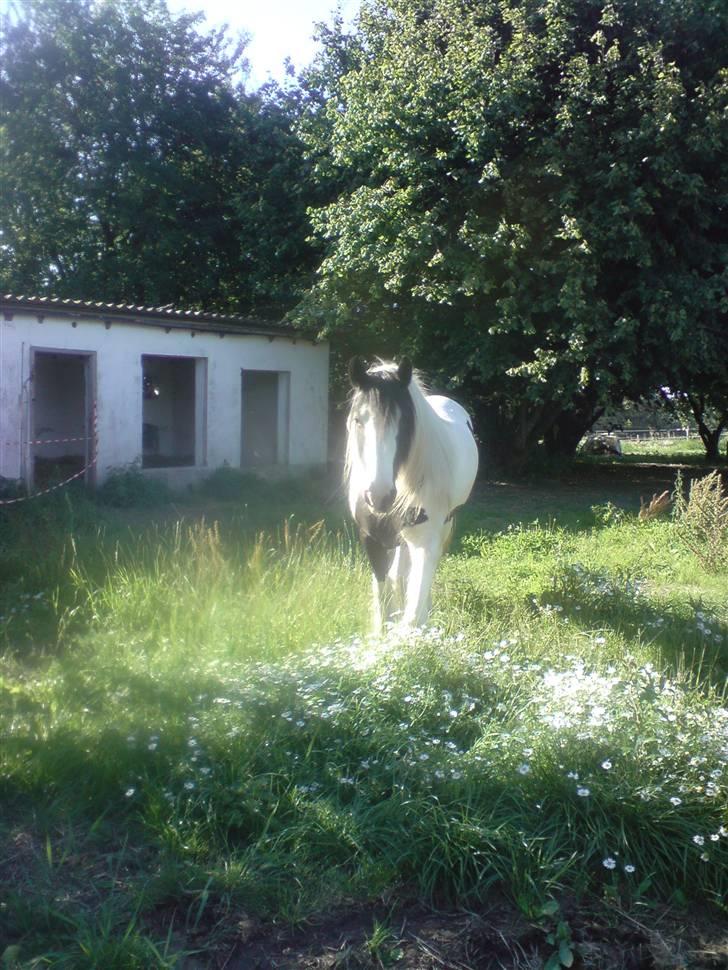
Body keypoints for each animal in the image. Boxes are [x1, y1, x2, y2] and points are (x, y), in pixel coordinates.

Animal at [346, 356, 480, 628]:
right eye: (358, 420)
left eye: (405, 421)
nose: (379, 495)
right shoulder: (371, 539)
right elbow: (383, 602)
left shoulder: (424, 542)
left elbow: (414, 614)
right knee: (398, 574)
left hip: (444, 525)